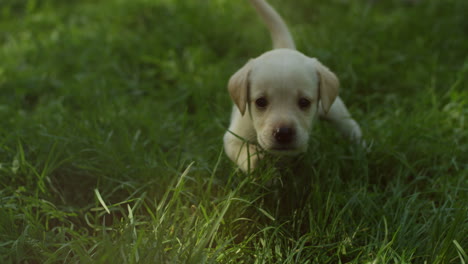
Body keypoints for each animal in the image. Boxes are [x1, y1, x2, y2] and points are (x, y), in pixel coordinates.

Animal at [225, 0, 364, 172]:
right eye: (260, 102)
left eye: (304, 102)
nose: (283, 133)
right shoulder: (233, 136)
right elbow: (241, 150)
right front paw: (255, 159)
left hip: (335, 110)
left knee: (350, 126)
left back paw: (362, 150)